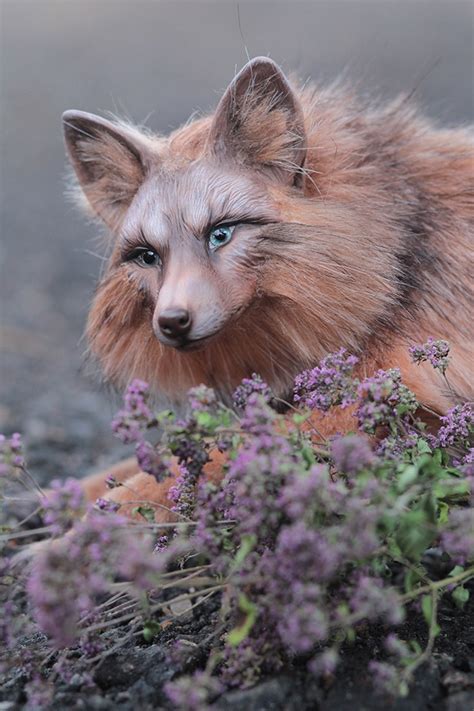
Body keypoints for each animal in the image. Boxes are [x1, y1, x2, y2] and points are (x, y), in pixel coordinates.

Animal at [61, 57, 472, 516]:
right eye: (148, 256)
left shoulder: (376, 395)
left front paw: (84, 528)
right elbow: (148, 461)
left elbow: (183, 469)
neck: (400, 253)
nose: (171, 321)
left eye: (220, 234)